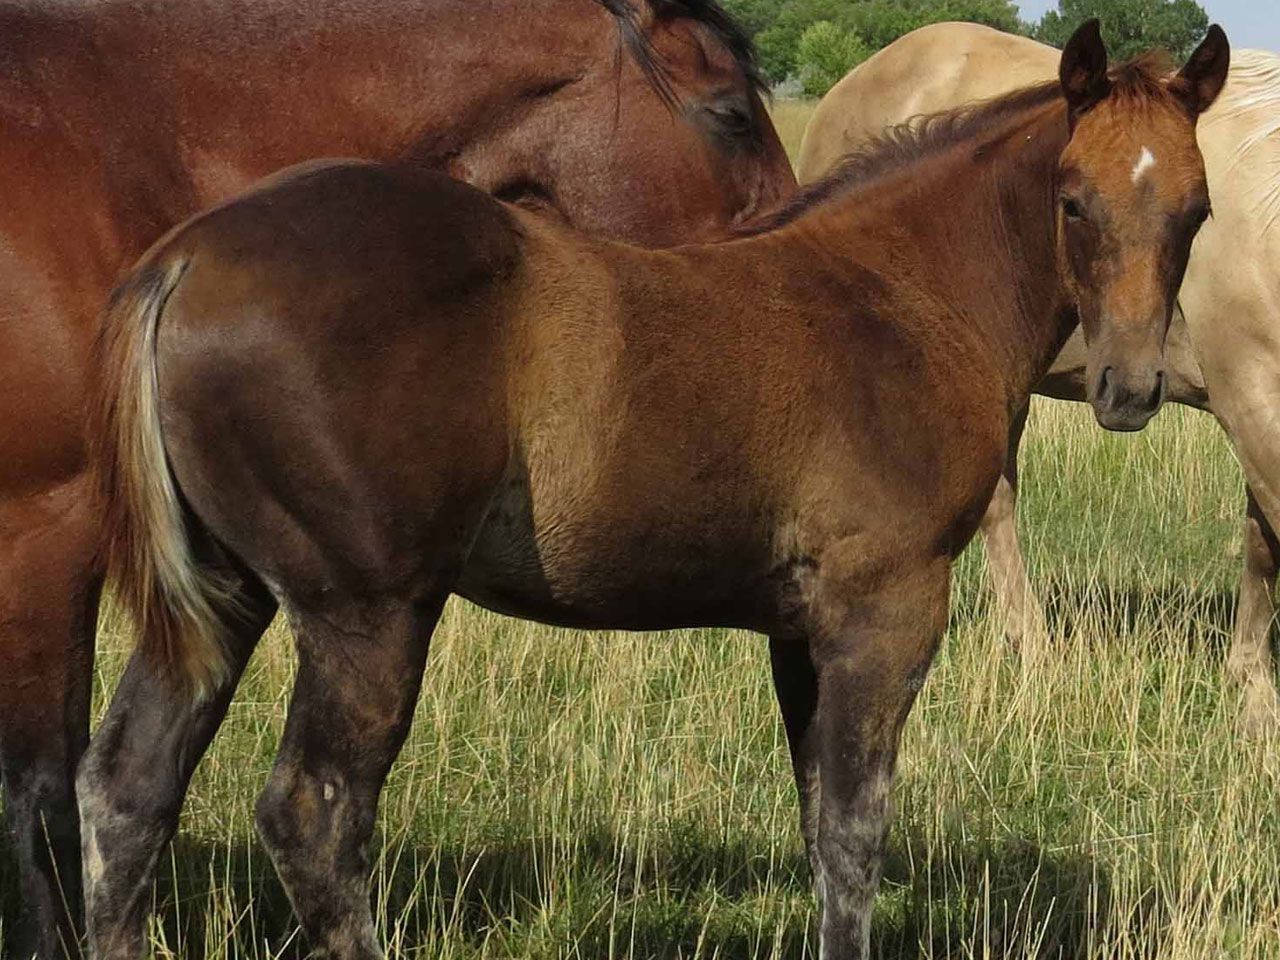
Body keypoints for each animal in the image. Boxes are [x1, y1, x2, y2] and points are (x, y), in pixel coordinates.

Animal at [80, 21, 1227, 960]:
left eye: (1196, 210)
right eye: (1072, 202)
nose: (1130, 388)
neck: (901, 292)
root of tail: (184, 261)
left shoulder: (799, 628)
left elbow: (821, 824)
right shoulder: (887, 607)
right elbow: (858, 829)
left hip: (227, 592)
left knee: (129, 784)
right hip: (367, 610)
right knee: (313, 817)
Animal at [799, 21, 1280, 735]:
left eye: (1200, 215)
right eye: (1074, 207)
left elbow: (1258, 543)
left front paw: (1247, 680)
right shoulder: (1250, 398)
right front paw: (1254, 694)